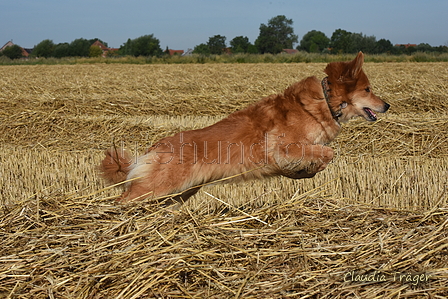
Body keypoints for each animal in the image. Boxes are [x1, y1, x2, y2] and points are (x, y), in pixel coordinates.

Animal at [100, 52, 388, 205]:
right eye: (367, 89)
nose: (387, 105)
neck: (325, 103)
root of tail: (157, 145)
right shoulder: (285, 147)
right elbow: (327, 154)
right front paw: (307, 170)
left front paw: (304, 172)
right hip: (157, 188)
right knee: (123, 199)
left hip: (178, 193)